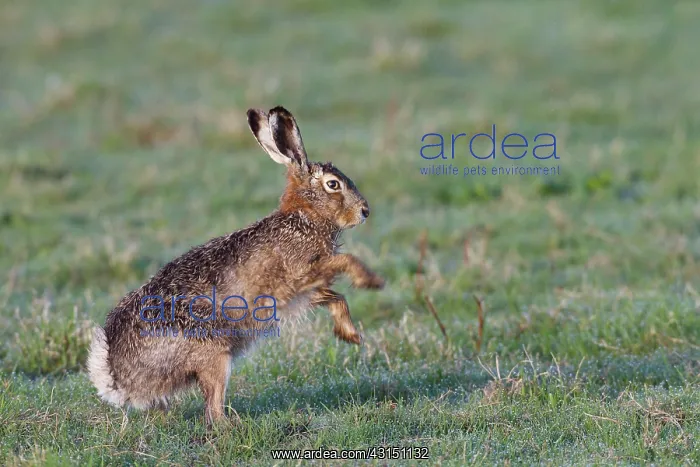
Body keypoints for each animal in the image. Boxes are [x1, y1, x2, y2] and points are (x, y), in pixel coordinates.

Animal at [87, 106, 385, 426]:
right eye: (333, 184)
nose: (365, 211)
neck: (304, 217)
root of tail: (118, 378)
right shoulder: (299, 275)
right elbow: (345, 261)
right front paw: (370, 280)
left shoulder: (306, 290)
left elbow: (335, 297)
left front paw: (350, 335)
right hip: (213, 351)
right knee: (213, 411)